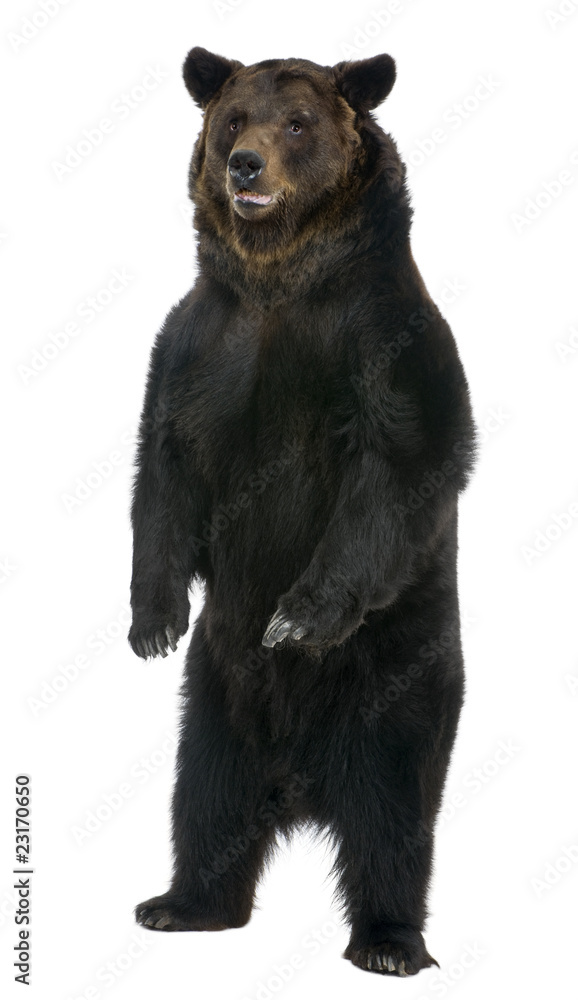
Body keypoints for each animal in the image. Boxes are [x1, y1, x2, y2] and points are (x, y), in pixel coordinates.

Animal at [128, 46, 476, 978]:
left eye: (297, 123)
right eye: (232, 118)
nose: (245, 166)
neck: (281, 280)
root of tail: (300, 783)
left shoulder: (382, 343)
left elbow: (396, 470)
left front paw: (295, 617)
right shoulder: (199, 347)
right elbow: (164, 472)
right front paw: (152, 620)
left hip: (399, 679)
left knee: (394, 818)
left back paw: (389, 943)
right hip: (213, 699)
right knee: (205, 798)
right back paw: (181, 904)